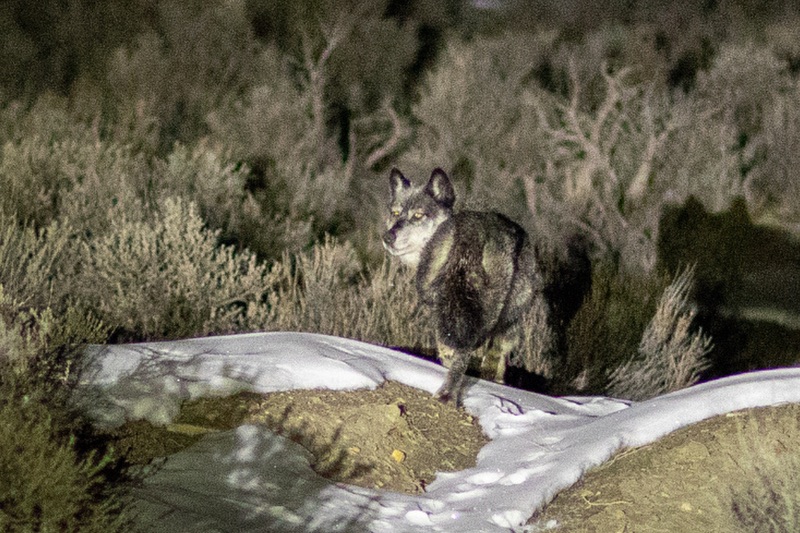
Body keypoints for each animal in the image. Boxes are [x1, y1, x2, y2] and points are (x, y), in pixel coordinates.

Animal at [383, 167, 588, 405]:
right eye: (396, 213)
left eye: (418, 215)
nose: (388, 237)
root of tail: (470, 228)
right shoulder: (509, 320)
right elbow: (498, 358)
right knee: (468, 352)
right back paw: (451, 394)